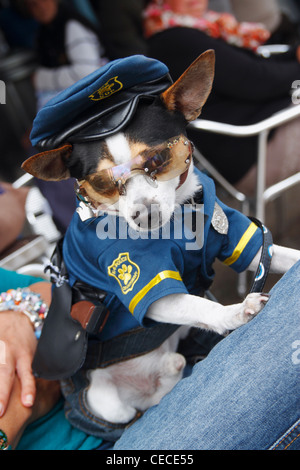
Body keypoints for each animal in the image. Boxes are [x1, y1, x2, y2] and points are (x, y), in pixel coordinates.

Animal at [22, 50, 300, 434]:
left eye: (157, 160)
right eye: (101, 183)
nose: (143, 215)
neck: (178, 220)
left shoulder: (246, 242)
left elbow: (282, 255)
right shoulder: (146, 286)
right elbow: (200, 307)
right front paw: (235, 313)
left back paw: (170, 366)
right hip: (106, 404)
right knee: (145, 404)